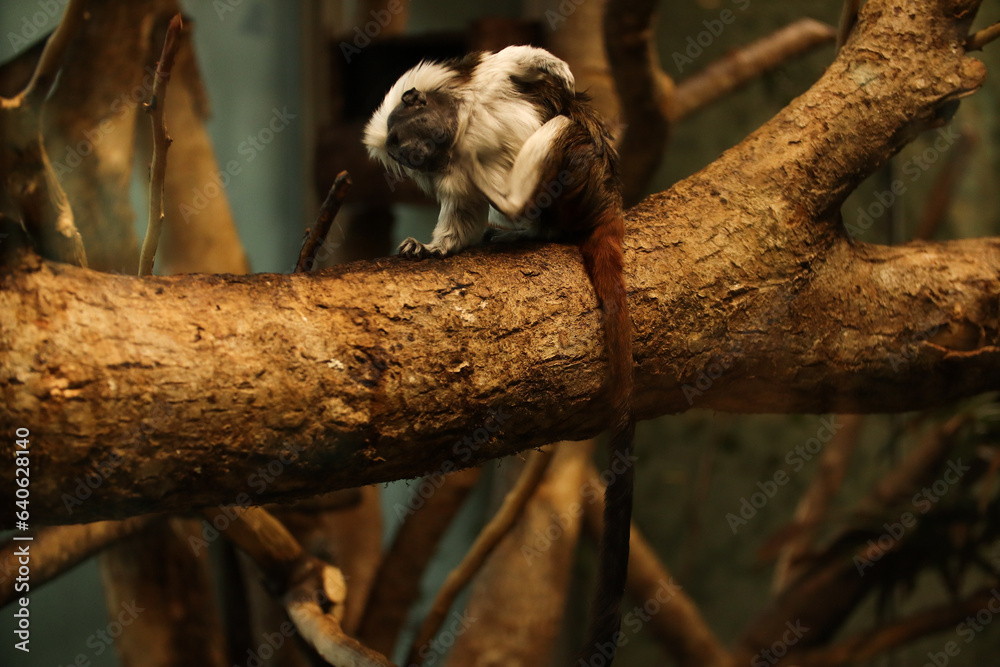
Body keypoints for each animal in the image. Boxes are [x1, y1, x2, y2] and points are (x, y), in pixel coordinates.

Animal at [364, 46, 635, 666]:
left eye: (404, 136)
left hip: (580, 175)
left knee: (566, 133)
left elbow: (518, 63)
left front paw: (556, 72)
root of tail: (603, 202)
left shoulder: (489, 84)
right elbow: (460, 215)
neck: (460, 131)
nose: (413, 156)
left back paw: (516, 194)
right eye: (400, 152)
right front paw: (432, 247)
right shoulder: (451, 171)